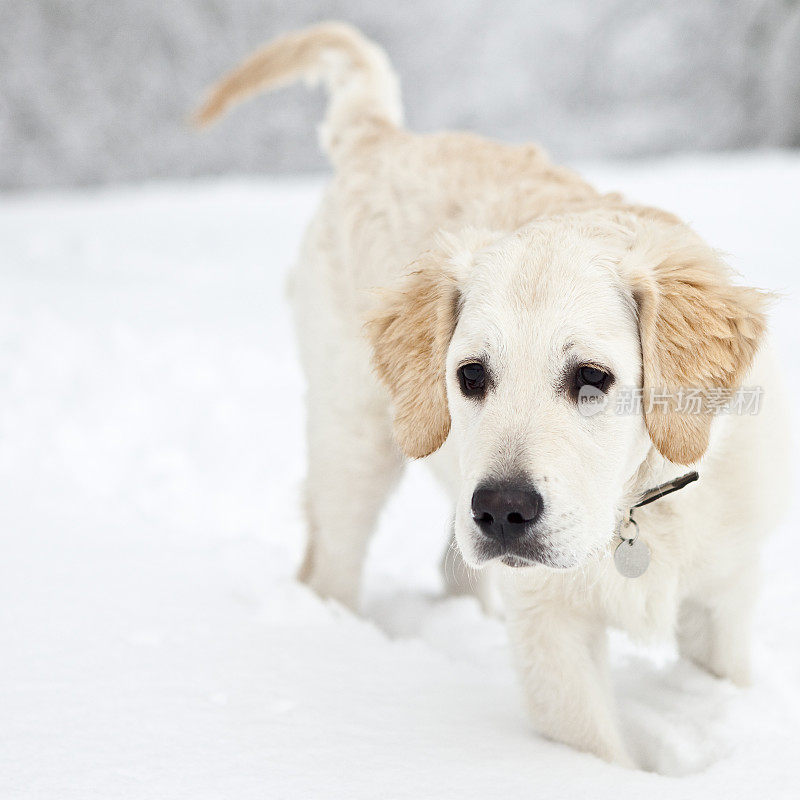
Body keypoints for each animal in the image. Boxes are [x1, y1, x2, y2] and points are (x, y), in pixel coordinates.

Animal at [198, 21, 788, 764]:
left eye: (593, 377)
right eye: (470, 376)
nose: (502, 511)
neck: (631, 508)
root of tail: (383, 137)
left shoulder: (724, 597)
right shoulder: (548, 626)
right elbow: (599, 749)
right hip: (355, 440)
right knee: (330, 563)